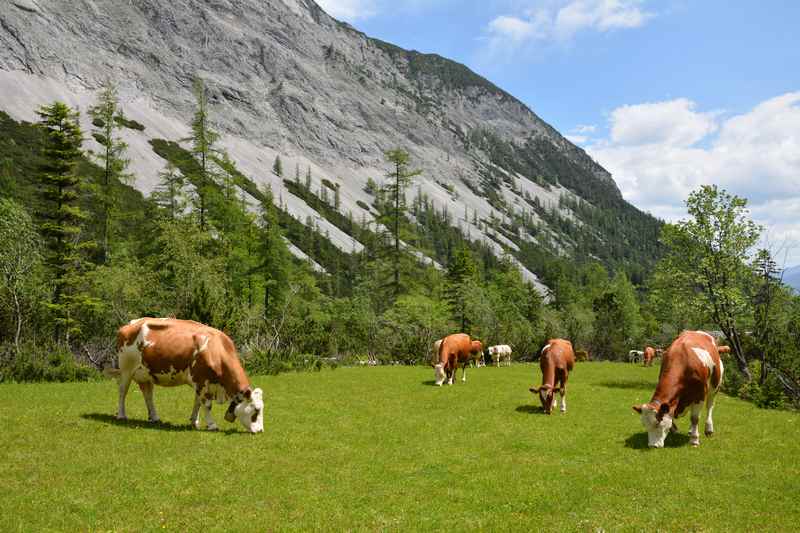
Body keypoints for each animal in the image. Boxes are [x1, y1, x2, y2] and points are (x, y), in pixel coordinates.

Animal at [103, 316, 264, 432]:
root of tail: (132, 323)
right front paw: (212, 425)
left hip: (146, 374)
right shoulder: (201, 381)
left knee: (148, 395)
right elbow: (206, 404)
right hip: (126, 369)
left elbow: (197, 402)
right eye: (256, 410)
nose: (261, 431)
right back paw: (121, 415)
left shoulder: (201, 383)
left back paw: (154, 417)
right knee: (122, 391)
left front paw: (195, 421)